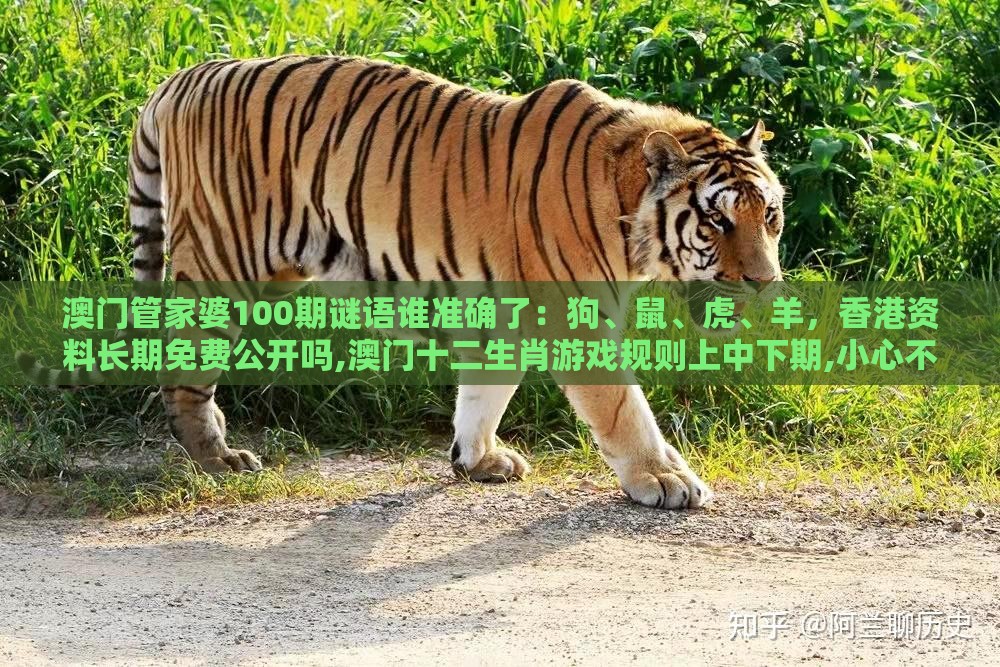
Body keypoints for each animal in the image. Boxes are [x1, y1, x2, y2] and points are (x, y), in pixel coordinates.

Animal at [24, 55, 784, 510]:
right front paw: (666, 480)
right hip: (222, 264)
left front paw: (477, 460)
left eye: (769, 215)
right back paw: (217, 458)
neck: (628, 203)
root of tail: (180, 77)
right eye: (716, 221)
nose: (766, 285)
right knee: (183, 364)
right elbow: (625, 409)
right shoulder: (574, 316)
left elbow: (485, 391)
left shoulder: (505, 309)